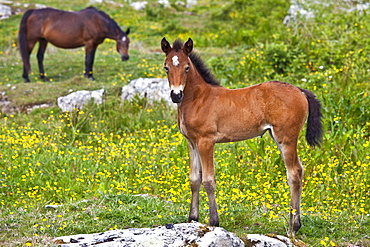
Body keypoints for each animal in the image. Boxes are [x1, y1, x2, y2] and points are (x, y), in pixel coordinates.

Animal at [160, 37, 322, 236]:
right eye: (166, 67)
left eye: (187, 67)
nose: (176, 95)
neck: (198, 99)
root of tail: (300, 90)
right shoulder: (192, 142)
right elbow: (194, 180)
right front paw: (192, 219)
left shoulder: (206, 141)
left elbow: (208, 180)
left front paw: (213, 221)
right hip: (278, 137)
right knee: (299, 169)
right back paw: (296, 224)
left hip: (287, 138)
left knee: (294, 173)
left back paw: (292, 227)